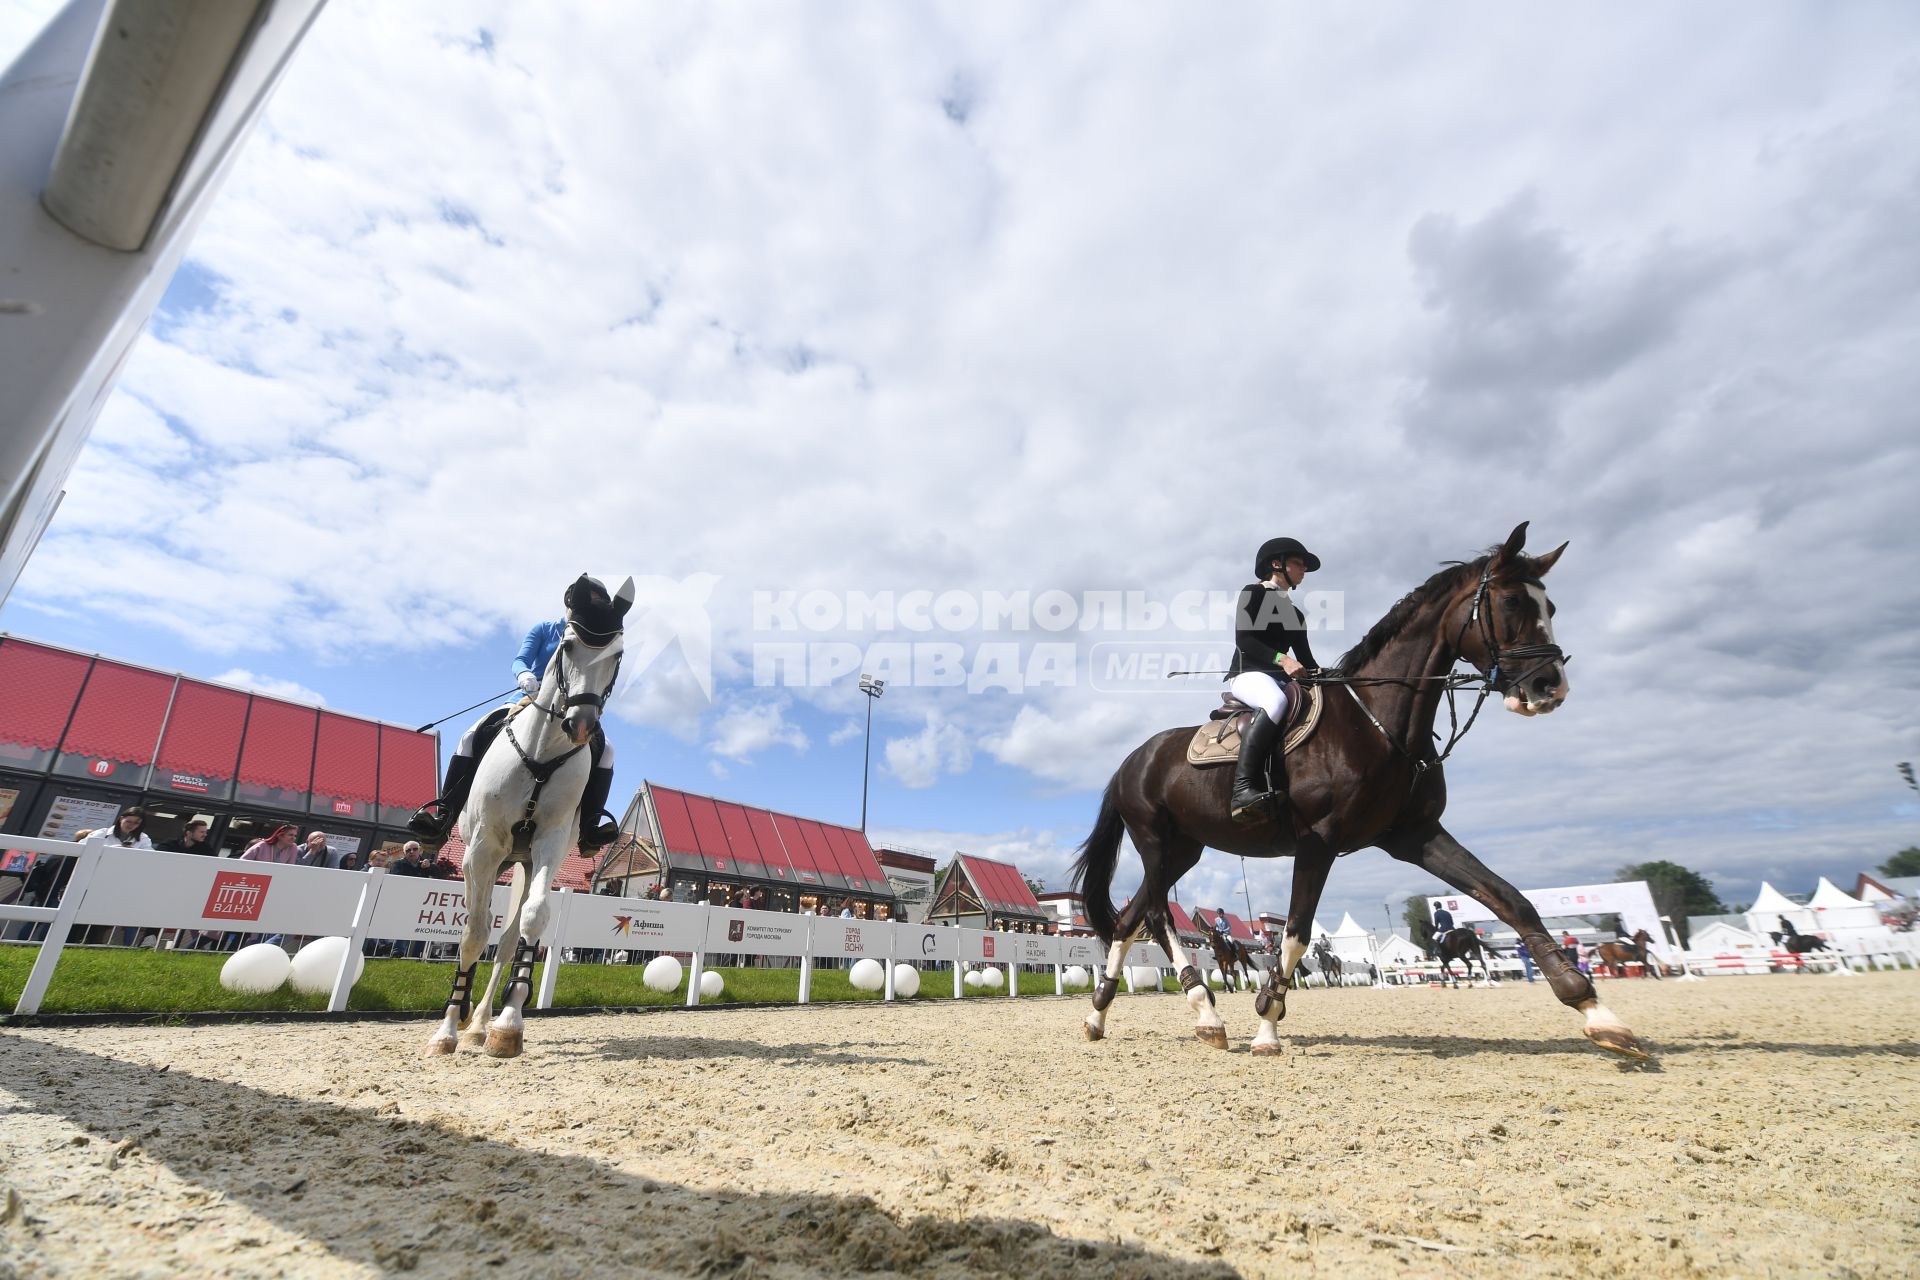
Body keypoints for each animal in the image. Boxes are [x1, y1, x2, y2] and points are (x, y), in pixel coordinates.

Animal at [426, 579, 629, 1059]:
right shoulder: (483, 849)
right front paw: (446, 1031)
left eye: (617, 655)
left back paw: (481, 1024)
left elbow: (532, 921)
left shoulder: (549, 845)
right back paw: (463, 1020)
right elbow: (471, 936)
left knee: (504, 943)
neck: (542, 751)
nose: (581, 725)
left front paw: (508, 1025)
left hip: (523, 862)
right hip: (479, 859)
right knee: (478, 925)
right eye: (567, 645)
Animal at [1075, 521, 1643, 1059]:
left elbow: (1510, 900)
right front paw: (1267, 1026)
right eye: (1510, 602)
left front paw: (1596, 1012)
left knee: (1129, 919)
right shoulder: (1318, 841)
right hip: (1157, 844)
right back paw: (1196, 1011)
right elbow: (1296, 934)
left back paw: (1111, 1016)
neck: (1378, 723)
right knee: (1151, 914)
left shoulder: (1415, 835)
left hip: (1185, 849)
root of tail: (1131, 761)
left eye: (1551, 605)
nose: (1550, 688)